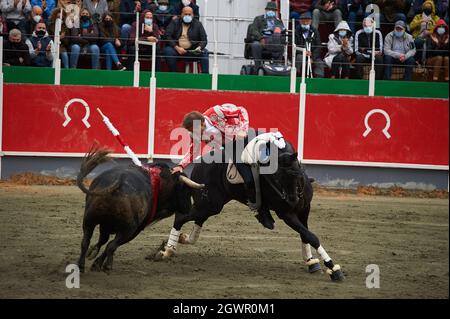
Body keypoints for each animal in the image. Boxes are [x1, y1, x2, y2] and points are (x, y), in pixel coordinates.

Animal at [156, 138, 342, 282]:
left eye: (296, 173)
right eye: (276, 176)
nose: (291, 200)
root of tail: (199, 164)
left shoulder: (304, 210)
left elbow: (306, 235)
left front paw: (312, 262)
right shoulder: (287, 214)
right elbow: (312, 236)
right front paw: (334, 269)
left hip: (210, 206)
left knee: (196, 221)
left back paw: (182, 239)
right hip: (208, 204)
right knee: (180, 217)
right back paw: (167, 251)